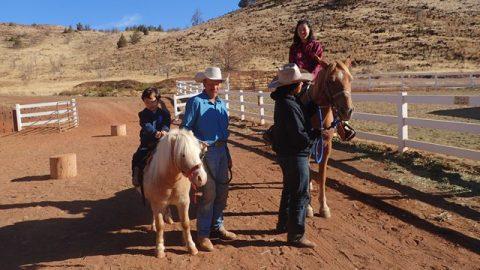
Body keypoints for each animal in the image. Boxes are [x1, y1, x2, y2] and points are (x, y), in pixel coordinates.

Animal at [144, 129, 208, 258]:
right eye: (183, 155)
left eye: (199, 152)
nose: (202, 178)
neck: (170, 181)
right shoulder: (157, 203)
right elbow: (160, 225)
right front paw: (159, 249)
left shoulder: (184, 202)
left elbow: (186, 223)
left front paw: (191, 246)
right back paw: (154, 225)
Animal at [300, 58, 356, 217]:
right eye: (331, 80)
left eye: (350, 79)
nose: (347, 111)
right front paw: (308, 207)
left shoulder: (326, 146)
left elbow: (322, 175)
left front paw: (323, 206)